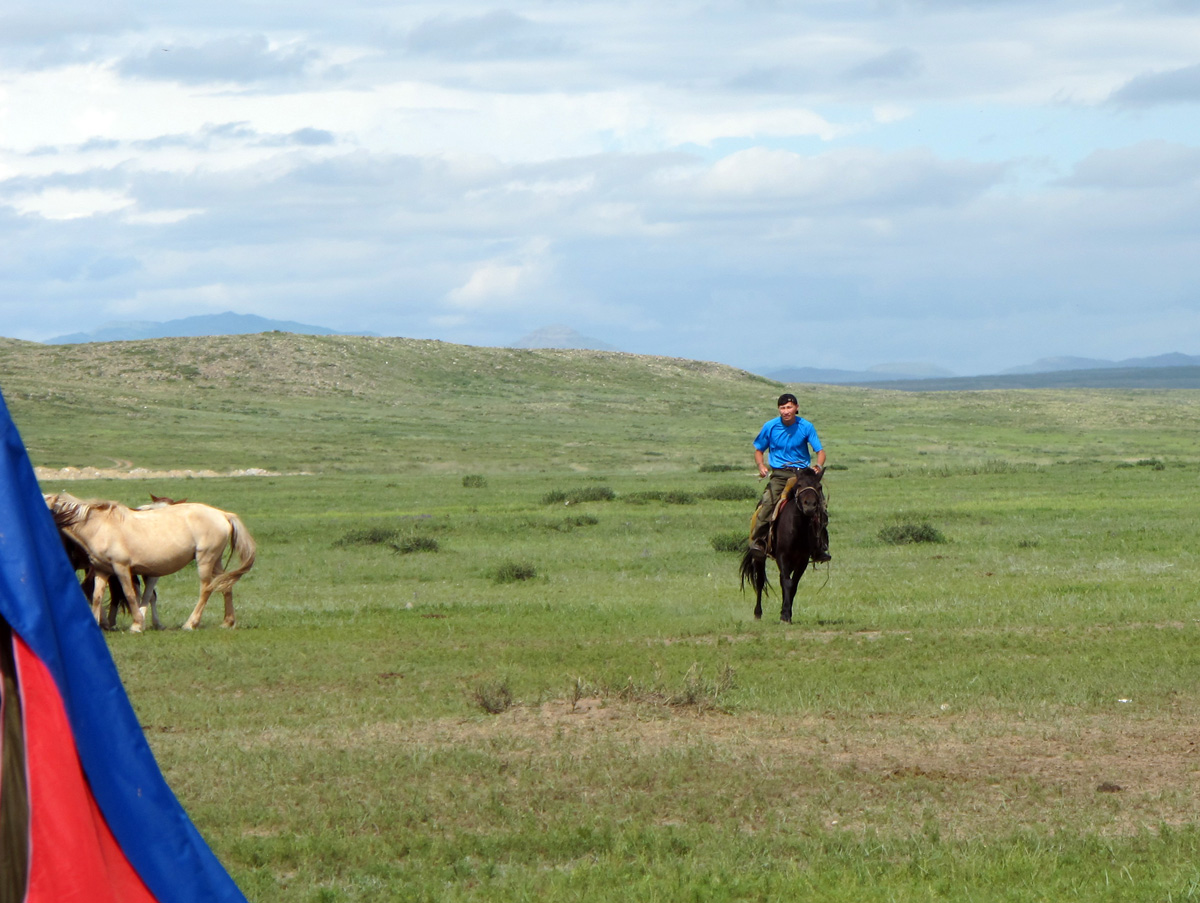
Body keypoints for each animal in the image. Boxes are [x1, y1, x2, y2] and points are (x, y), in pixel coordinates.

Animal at [44, 492, 256, 632]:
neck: (100, 525)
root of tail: (223, 514)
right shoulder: (101, 570)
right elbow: (97, 597)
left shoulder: (122, 568)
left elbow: (130, 595)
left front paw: (137, 624)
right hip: (216, 560)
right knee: (225, 586)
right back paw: (227, 622)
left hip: (205, 559)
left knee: (206, 588)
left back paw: (191, 623)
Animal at [739, 468, 827, 623]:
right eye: (799, 485)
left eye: (819, 486)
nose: (810, 505)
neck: (798, 528)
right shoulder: (782, 556)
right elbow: (787, 582)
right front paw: (785, 615)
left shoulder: (802, 560)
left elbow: (794, 585)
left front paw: (786, 613)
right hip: (760, 557)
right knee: (760, 581)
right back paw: (757, 613)